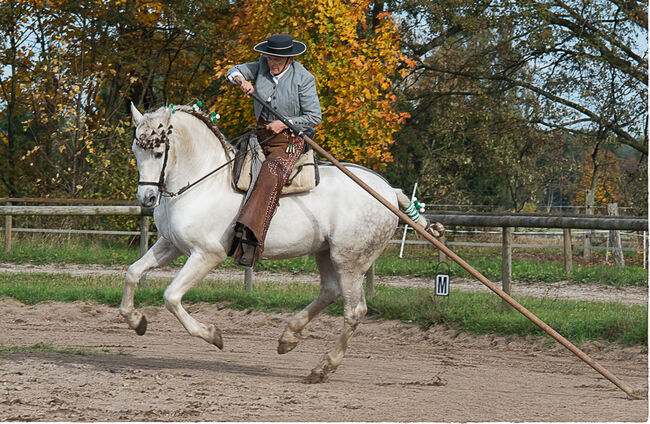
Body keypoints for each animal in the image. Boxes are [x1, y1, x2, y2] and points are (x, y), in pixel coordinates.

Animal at [118, 103, 438, 384]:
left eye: (158, 152)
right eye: (135, 150)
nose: (146, 198)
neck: (202, 182)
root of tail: (389, 191)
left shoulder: (207, 255)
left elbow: (171, 297)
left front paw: (212, 335)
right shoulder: (170, 244)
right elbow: (133, 272)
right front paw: (135, 320)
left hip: (350, 260)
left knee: (354, 311)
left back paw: (322, 368)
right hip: (326, 253)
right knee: (329, 291)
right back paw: (288, 337)